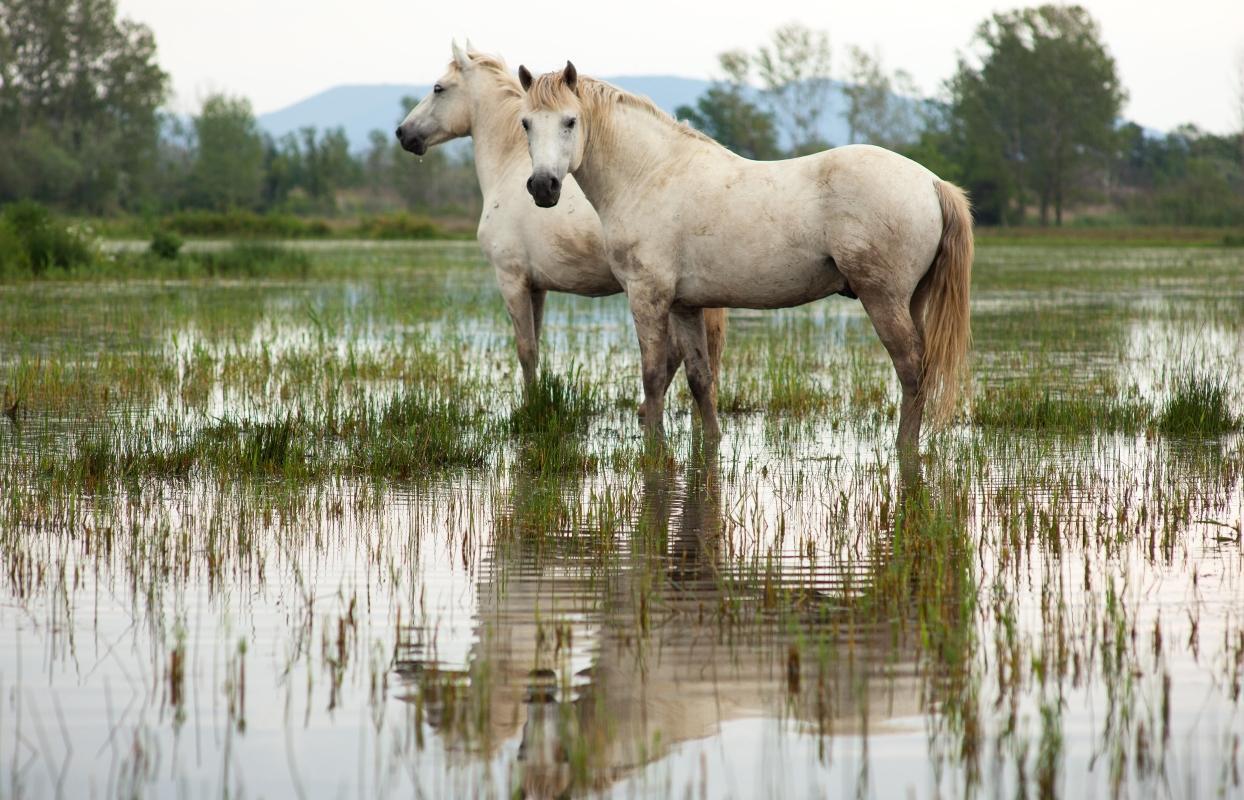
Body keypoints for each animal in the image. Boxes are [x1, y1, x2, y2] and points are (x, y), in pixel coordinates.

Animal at [398, 43, 726, 408]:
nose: (403, 133)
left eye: (438, 88)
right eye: (526, 124)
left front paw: (530, 408)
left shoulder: (511, 279)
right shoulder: (536, 287)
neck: (508, 165)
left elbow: (525, 350)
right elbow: (536, 345)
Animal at [515, 60, 970, 450]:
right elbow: (700, 378)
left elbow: (652, 375)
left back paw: (904, 448)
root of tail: (932, 183)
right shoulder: (684, 305)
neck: (651, 175)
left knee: (910, 367)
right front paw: (711, 442)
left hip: (884, 299)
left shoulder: (648, 296)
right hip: (911, 300)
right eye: (526, 123)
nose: (543, 187)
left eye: (570, 121)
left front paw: (654, 451)